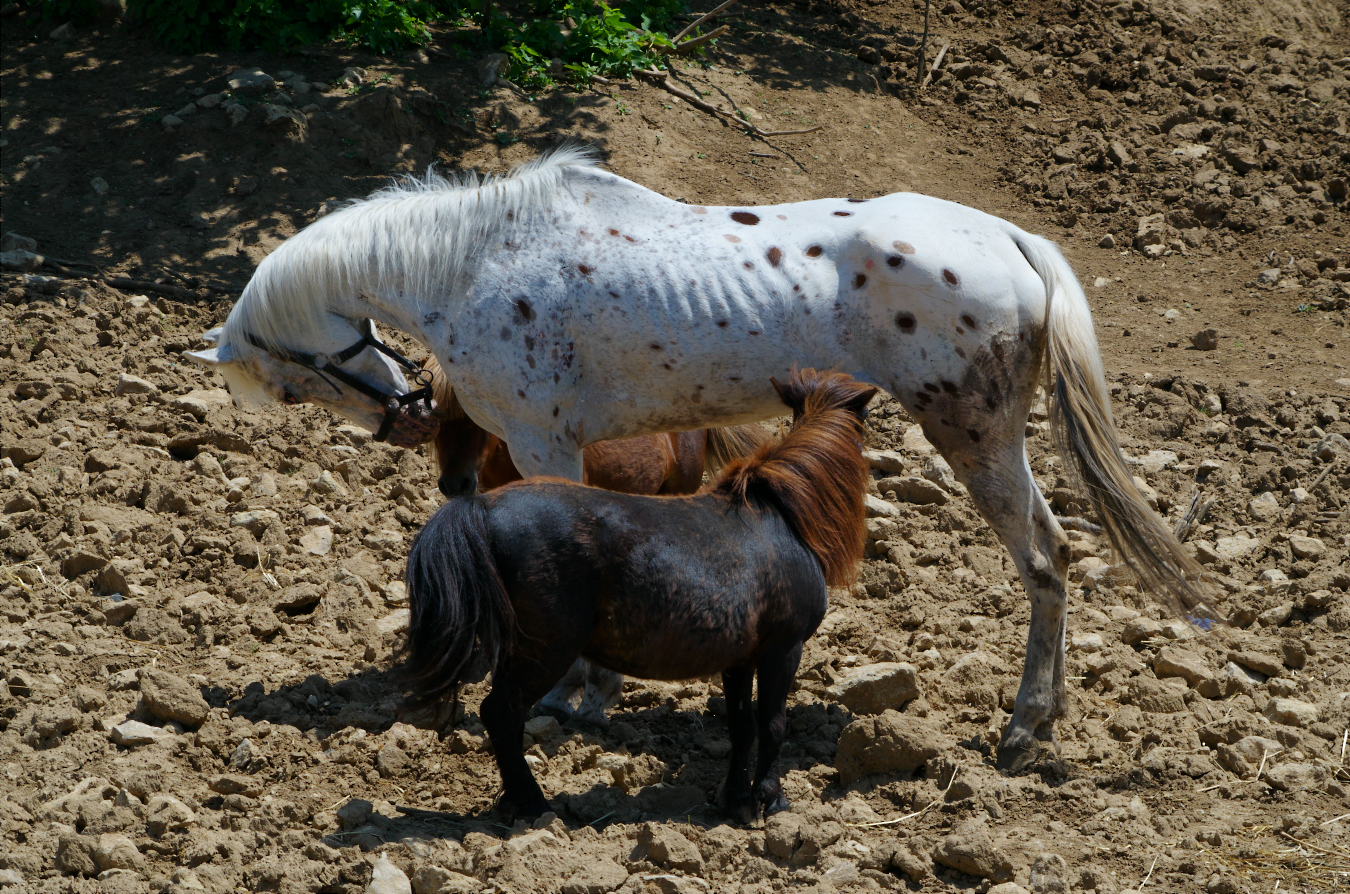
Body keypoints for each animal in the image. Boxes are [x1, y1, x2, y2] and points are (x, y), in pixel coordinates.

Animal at [186, 146, 1208, 771]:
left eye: (287, 385)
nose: (402, 420)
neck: (474, 261)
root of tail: (1010, 239)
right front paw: (594, 689)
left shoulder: (544, 442)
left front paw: (572, 698)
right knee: (1058, 558)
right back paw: (1047, 718)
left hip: (974, 435)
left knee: (1043, 562)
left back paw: (1023, 726)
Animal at [402, 368, 876, 822]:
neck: (779, 518)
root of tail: (482, 510)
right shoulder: (784, 649)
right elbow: (773, 724)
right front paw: (770, 800)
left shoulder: (740, 659)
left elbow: (742, 725)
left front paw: (737, 802)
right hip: (544, 653)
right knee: (501, 713)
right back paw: (533, 803)